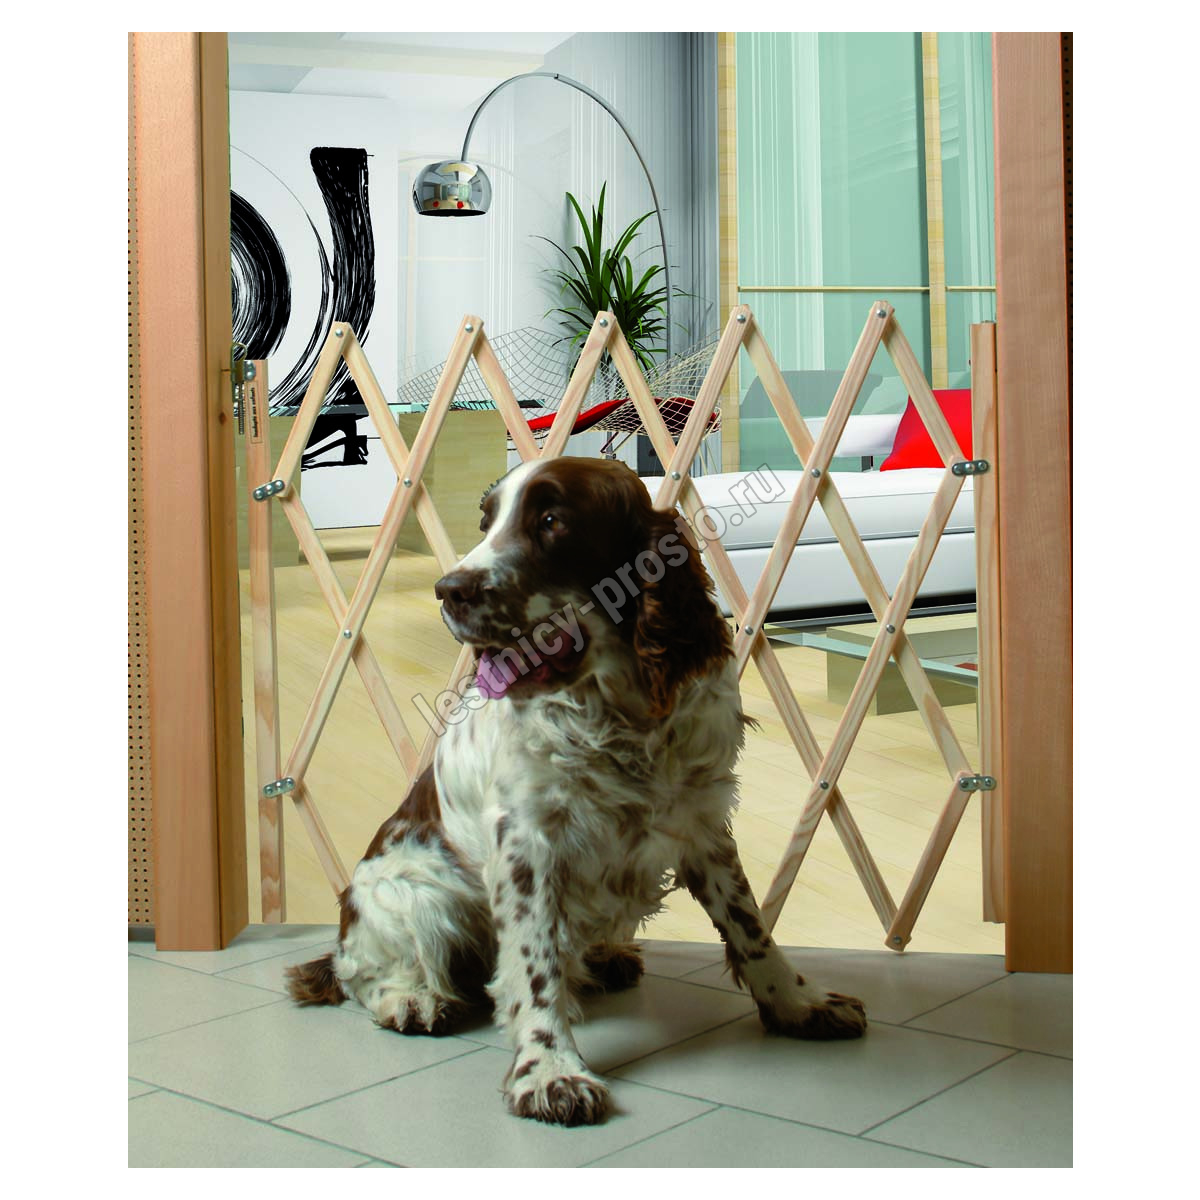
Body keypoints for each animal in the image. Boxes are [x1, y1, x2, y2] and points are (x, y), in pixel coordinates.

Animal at [288, 456, 866, 1125]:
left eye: (551, 520)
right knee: (361, 971)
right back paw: (413, 1001)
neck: (622, 715)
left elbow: (751, 927)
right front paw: (550, 1071)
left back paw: (604, 959)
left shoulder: (700, 821)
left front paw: (800, 1003)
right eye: (486, 523)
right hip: (415, 895)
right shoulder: (528, 845)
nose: (449, 590)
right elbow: (533, 965)